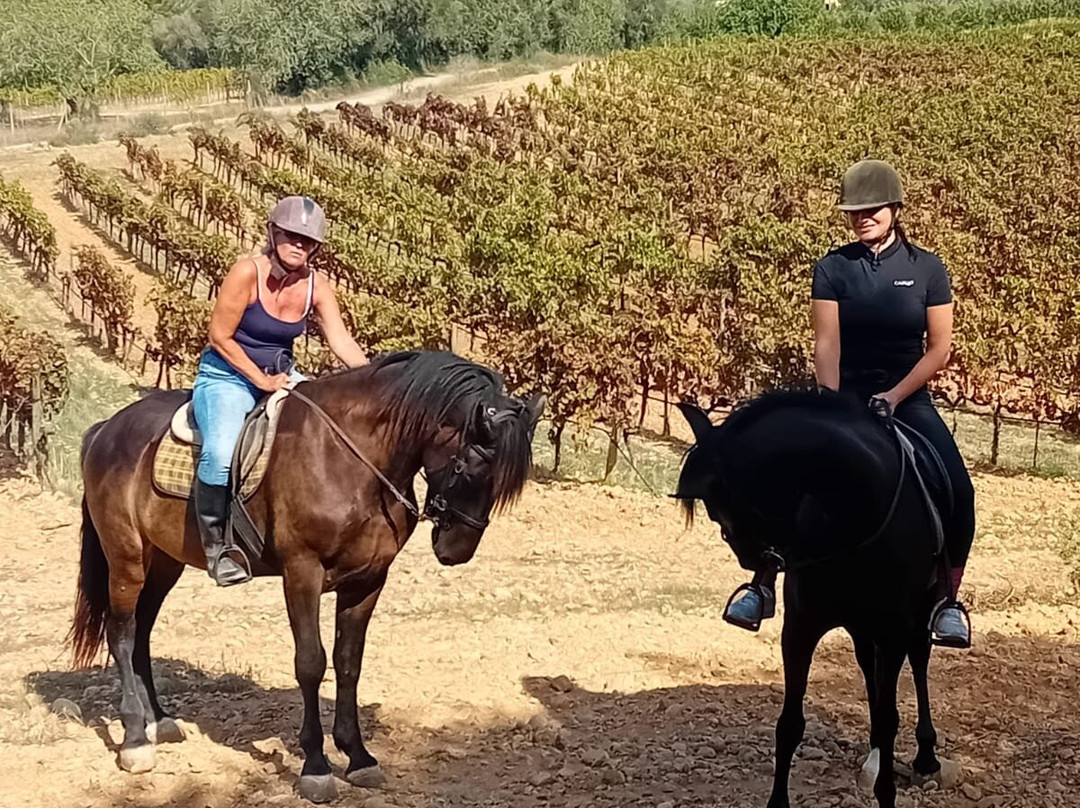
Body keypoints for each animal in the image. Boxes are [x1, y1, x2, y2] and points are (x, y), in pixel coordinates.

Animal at [69, 350, 544, 803]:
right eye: (473, 466)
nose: (457, 552)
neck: (352, 457)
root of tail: (106, 429)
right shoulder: (302, 572)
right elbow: (311, 663)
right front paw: (316, 766)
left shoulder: (368, 580)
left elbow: (349, 662)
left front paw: (358, 756)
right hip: (127, 556)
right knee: (122, 632)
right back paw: (135, 740)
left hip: (165, 561)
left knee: (143, 631)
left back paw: (160, 722)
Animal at [674, 390, 958, 808]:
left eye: (721, 514)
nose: (748, 559)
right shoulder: (801, 628)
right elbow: (790, 723)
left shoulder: (893, 632)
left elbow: (890, 719)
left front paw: (887, 791)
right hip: (861, 627)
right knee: (868, 668)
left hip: (917, 615)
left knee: (919, 660)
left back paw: (925, 756)